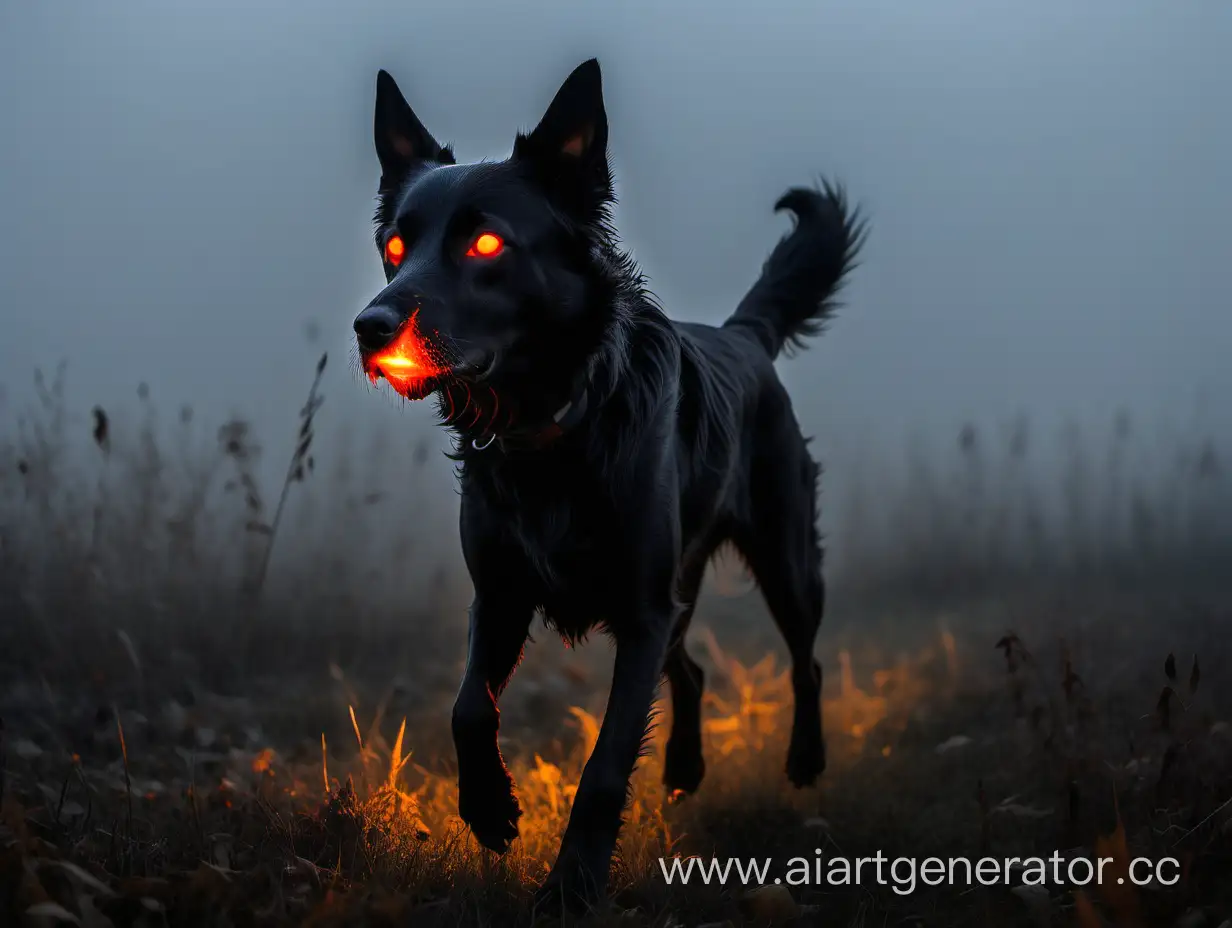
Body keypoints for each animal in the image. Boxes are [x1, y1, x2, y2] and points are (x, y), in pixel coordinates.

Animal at [352, 56, 862, 907]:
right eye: (396, 245)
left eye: (486, 243)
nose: (370, 327)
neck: (554, 428)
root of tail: (744, 335)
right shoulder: (503, 596)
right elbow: (466, 709)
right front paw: (489, 810)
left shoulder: (642, 607)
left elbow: (604, 765)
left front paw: (572, 888)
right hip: (680, 590)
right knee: (690, 668)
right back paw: (685, 766)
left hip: (785, 560)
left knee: (806, 660)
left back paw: (805, 759)